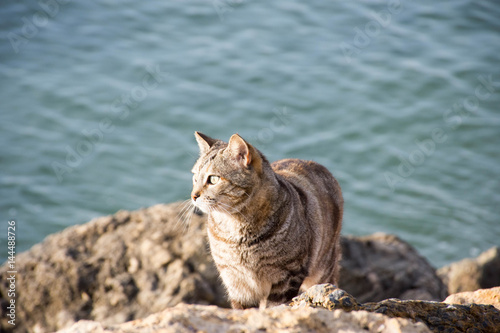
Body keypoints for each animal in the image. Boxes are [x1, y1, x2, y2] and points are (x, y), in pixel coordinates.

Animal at [189, 131, 342, 308]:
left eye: (213, 179)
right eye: (195, 177)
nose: (193, 196)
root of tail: (317, 165)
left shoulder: (287, 276)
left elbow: (273, 306)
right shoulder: (235, 281)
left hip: (324, 269)